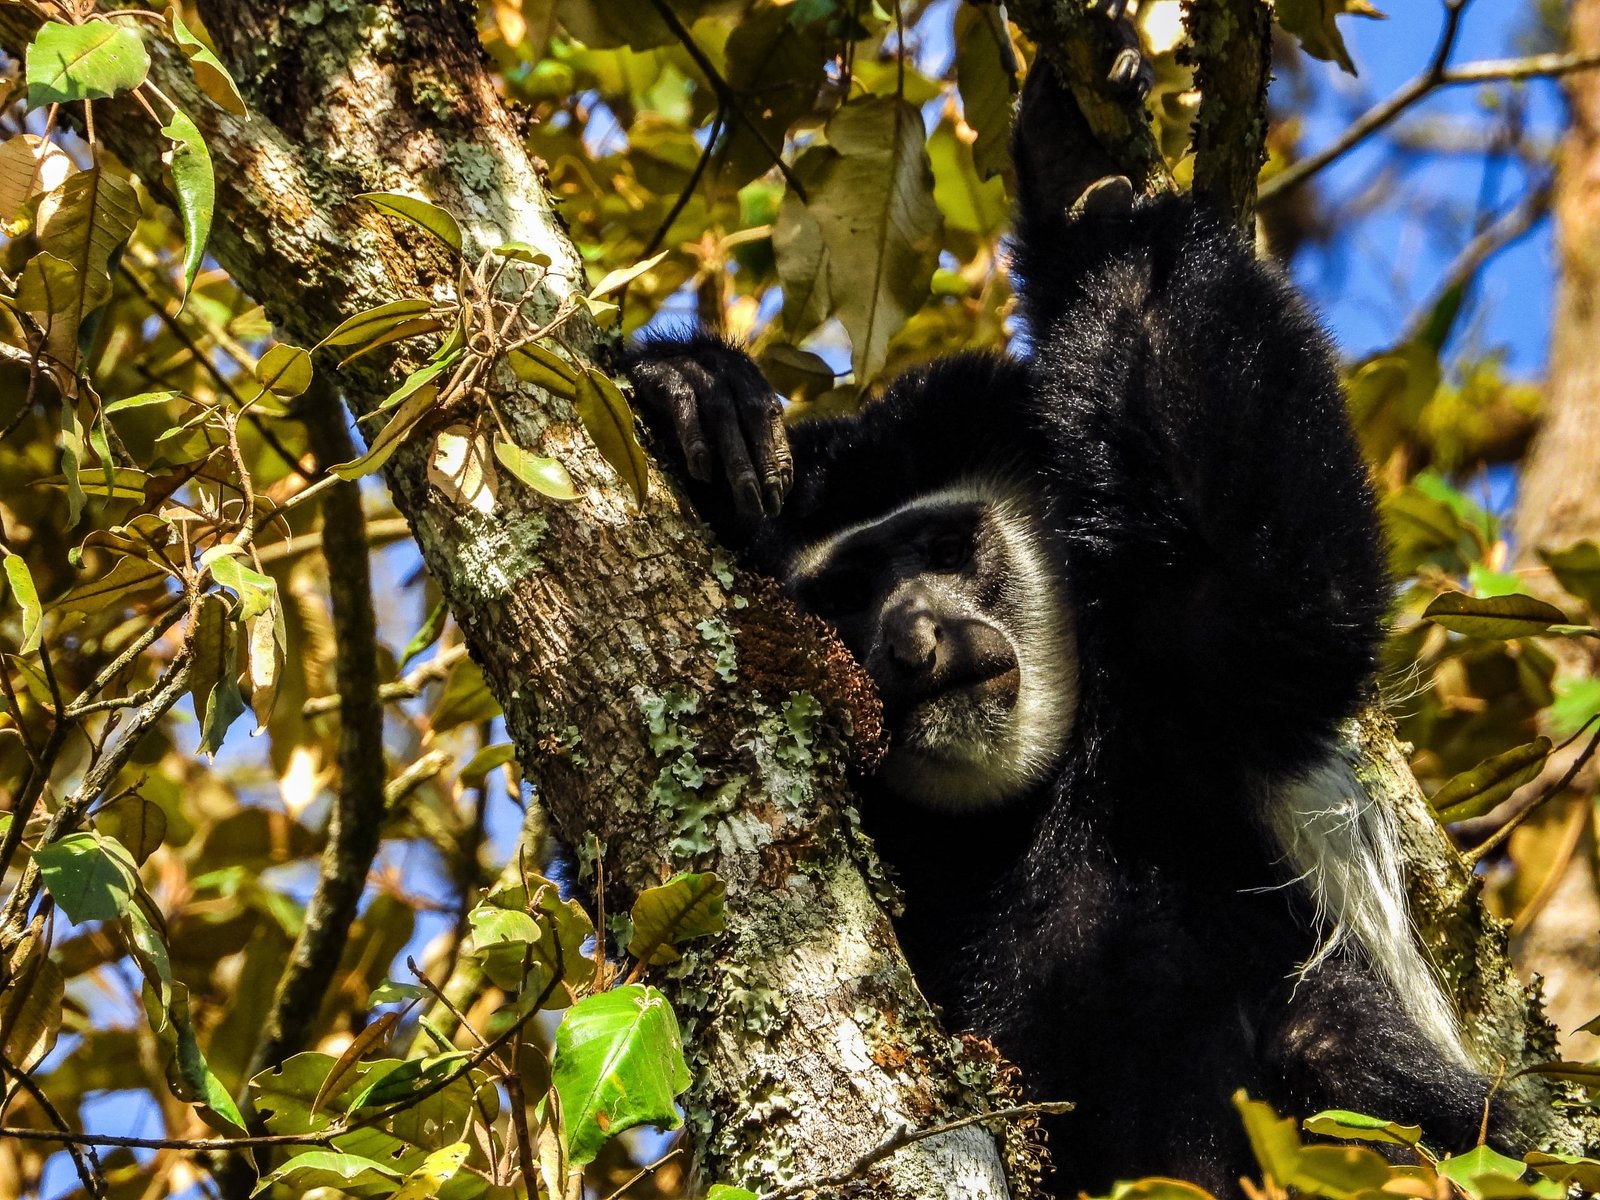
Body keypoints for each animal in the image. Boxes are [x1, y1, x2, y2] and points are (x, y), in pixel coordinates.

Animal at [620, 58, 1497, 1200]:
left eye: (945, 547)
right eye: (849, 592)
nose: (914, 642)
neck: (1019, 810)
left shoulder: (1193, 696)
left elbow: (1293, 585)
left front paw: (1085, 193)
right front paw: (691, 389)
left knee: (1335, 1044)